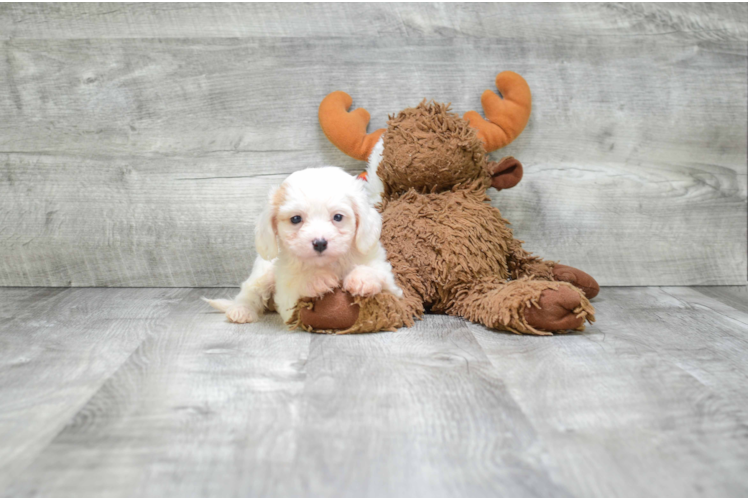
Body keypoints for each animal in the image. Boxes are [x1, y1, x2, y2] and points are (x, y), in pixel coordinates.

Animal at [205, 166, 404, 326]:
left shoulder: (393, 288)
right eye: (295, 219)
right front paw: (316, 279)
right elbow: (298, 285)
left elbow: (379, 274)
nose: (320, 243)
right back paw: (241, 310)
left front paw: (363, 278)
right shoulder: (287, 300)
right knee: (249, 292)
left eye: (338, 217)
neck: (328, 263)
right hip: (263, 273)